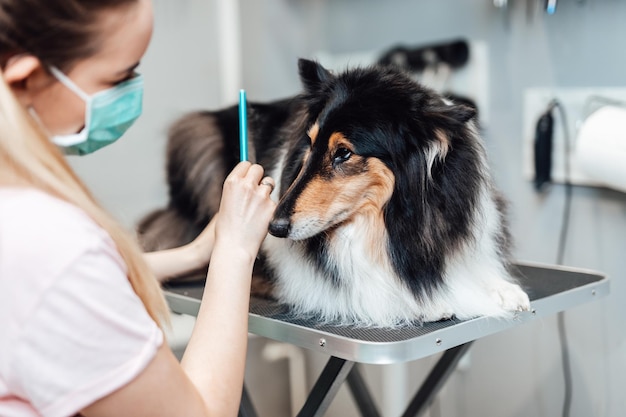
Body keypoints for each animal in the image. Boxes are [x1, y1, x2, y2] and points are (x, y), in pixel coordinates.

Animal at [139, 58, 528, 326]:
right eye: (309, 144)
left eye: (344, 153)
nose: (274, 228)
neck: (388, 226)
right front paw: (425, 304)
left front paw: (502, 289)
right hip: (196, 136)